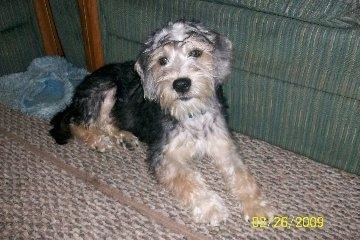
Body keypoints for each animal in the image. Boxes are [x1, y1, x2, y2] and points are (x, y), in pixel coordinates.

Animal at [49, 20, 272, 225]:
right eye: (163, 60)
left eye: (196, 53)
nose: (181, 84)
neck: (191, 114)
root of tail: (78, 92)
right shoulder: (165, 156)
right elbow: (190, 180)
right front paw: (212, 208)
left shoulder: (223, 145)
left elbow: (243, 176)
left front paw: (257, 208)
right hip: (106, 89)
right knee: (78, 122)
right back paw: (98, 140)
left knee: (106, 121)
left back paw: (125, 137)